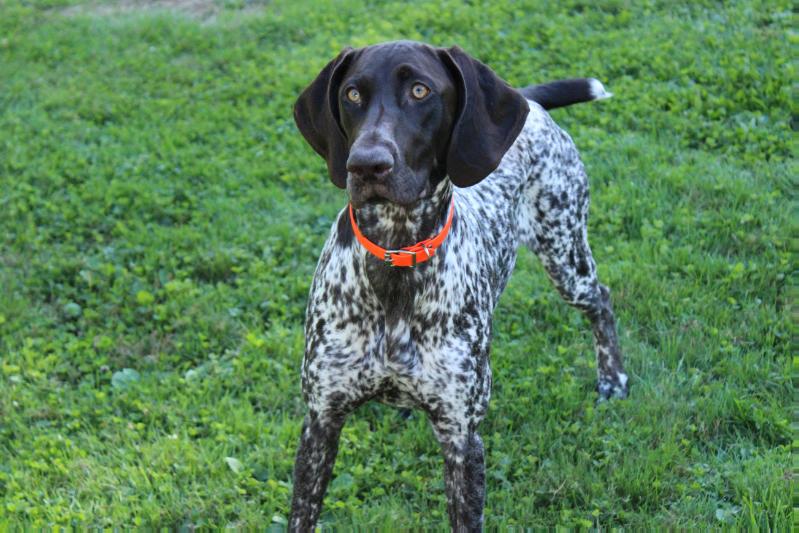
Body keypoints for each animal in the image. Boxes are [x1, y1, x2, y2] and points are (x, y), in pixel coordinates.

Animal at [290, 40, 628, 528]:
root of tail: (529, 102)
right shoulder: (320, 423)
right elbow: (302, 515)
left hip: (565, 252)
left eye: (420, 90)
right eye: (352, 94)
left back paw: (612, 379)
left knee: (600, 299)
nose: (366, 164)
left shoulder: (462, 437)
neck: (397, 253)